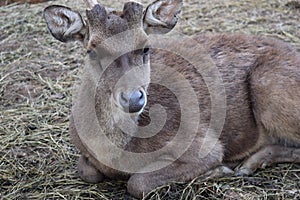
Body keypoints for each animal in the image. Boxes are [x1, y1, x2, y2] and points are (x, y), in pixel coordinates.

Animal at [44, 0, 300, 198]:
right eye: (92, 50)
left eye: (146, 47)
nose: (133, 99)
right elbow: (86, 171)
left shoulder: (202, 143)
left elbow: (137, 183)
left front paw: (217, 170)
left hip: (270, 91)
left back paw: (246, 165)